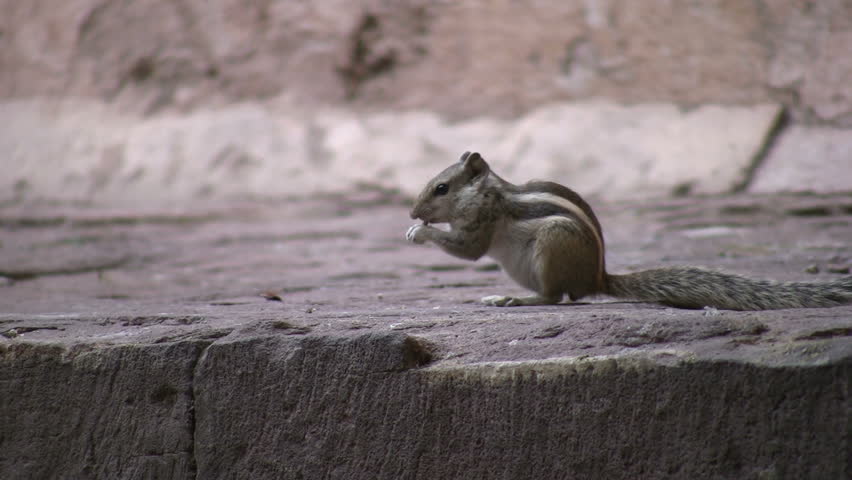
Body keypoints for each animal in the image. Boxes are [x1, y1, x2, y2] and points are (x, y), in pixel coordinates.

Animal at [405, 151, 852, 310]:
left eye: (441, 188)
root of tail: (597, 278)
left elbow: (467, 250)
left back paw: (515, 300)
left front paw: (419, 233)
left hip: (552, 243)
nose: (412, 211)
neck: (487, 192)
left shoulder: (480, 224)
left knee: (555, 298)